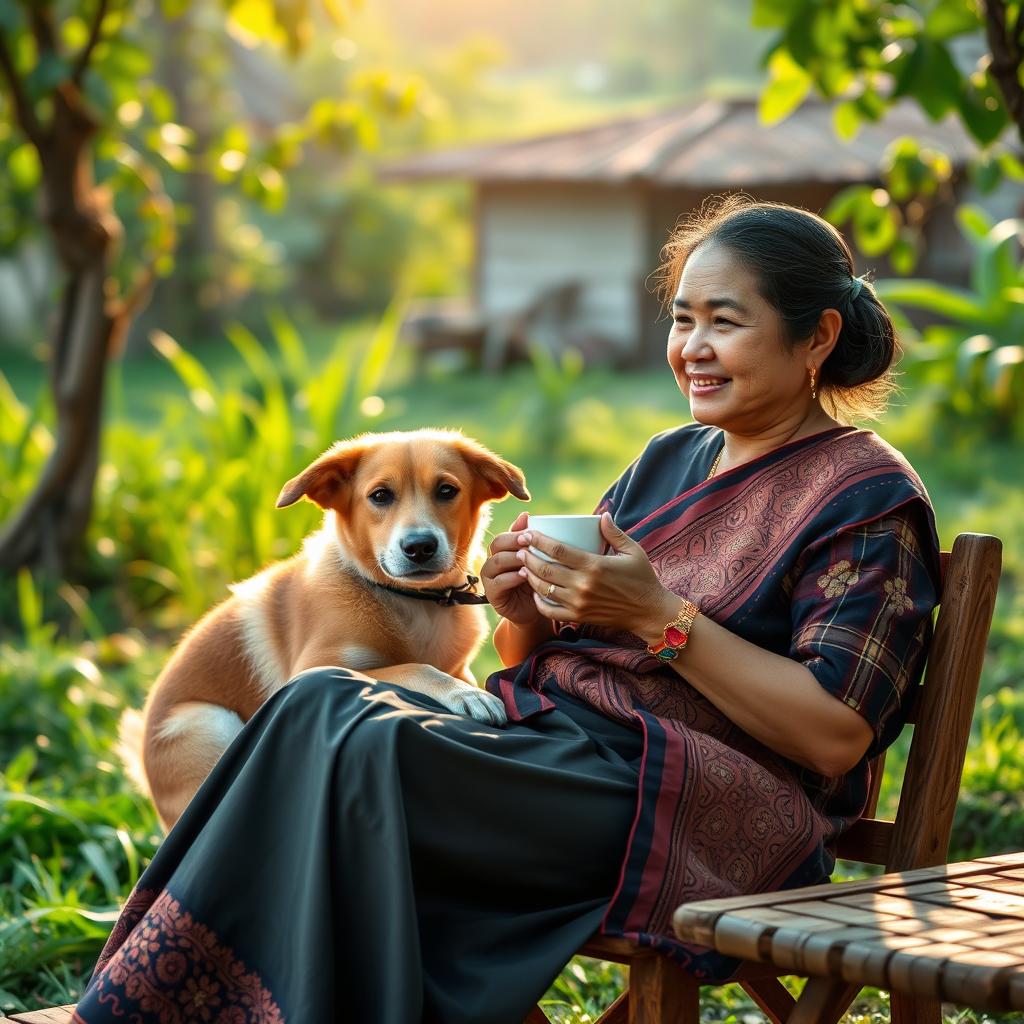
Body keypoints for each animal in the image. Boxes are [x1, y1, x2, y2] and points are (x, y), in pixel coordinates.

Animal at [121, 428, 528, 827]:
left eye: (446, 490)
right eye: (380, 496)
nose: (419, 547)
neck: (416, 603)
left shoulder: (460, 665)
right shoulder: (312, 668)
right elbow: (413, 667)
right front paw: (465, 695)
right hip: (206, 722)